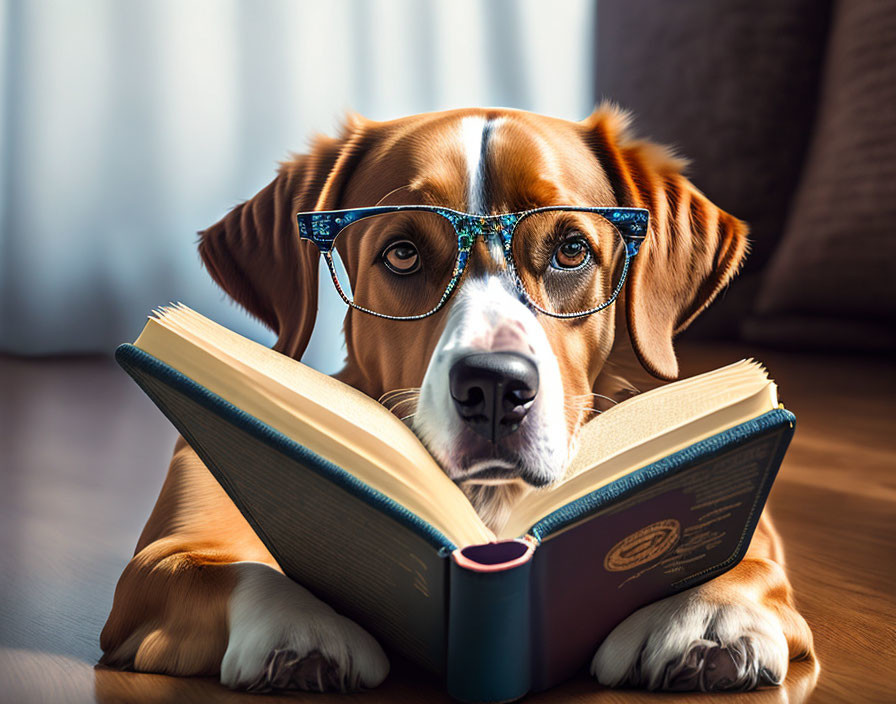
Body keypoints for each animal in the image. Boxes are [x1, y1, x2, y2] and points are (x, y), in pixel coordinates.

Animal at [98, 106, 812, 692]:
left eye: (571, 249)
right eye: (402, 253)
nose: (495, 385)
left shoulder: (762, 523)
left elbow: (747, 554)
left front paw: (711, 618)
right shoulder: (154, 565)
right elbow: (230, 567)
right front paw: (301, 626)